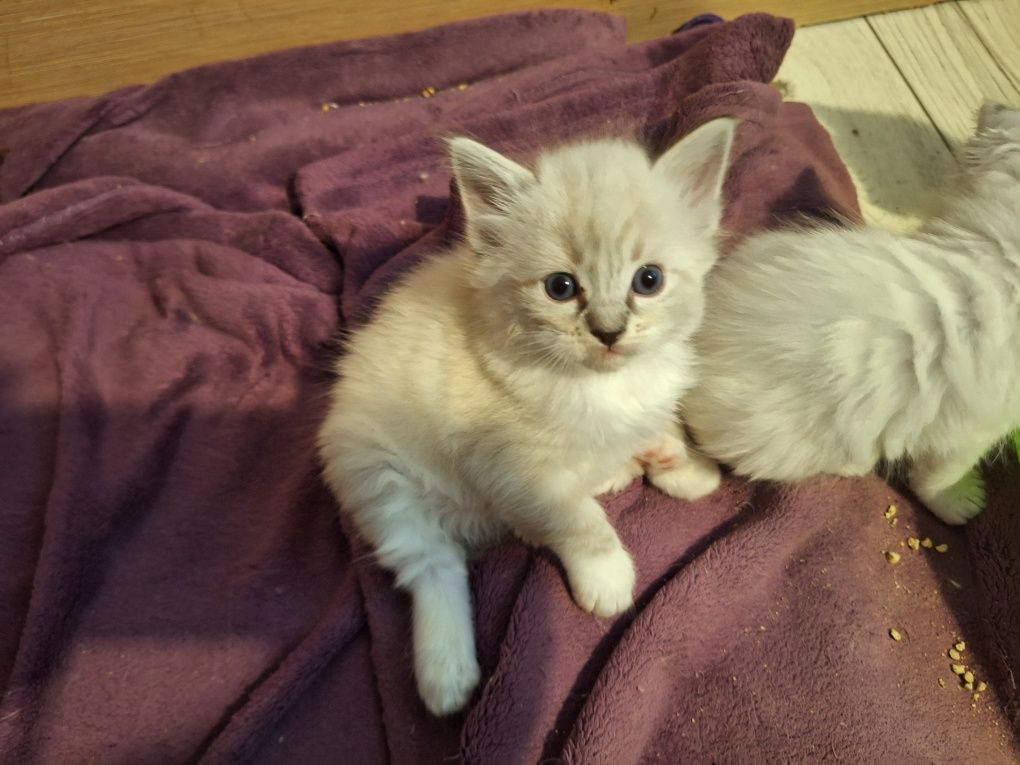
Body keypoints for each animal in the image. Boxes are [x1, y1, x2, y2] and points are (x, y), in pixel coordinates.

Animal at [316, 116, 734, 718]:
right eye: (560, 287)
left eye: (648, 280)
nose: (608, 331)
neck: (600, 385)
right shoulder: (510, 468)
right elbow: (576, 518)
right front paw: (607, 575)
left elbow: (658, 425)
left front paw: (682, 464)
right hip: (379, 479)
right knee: (434, 566)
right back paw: (447, 676)